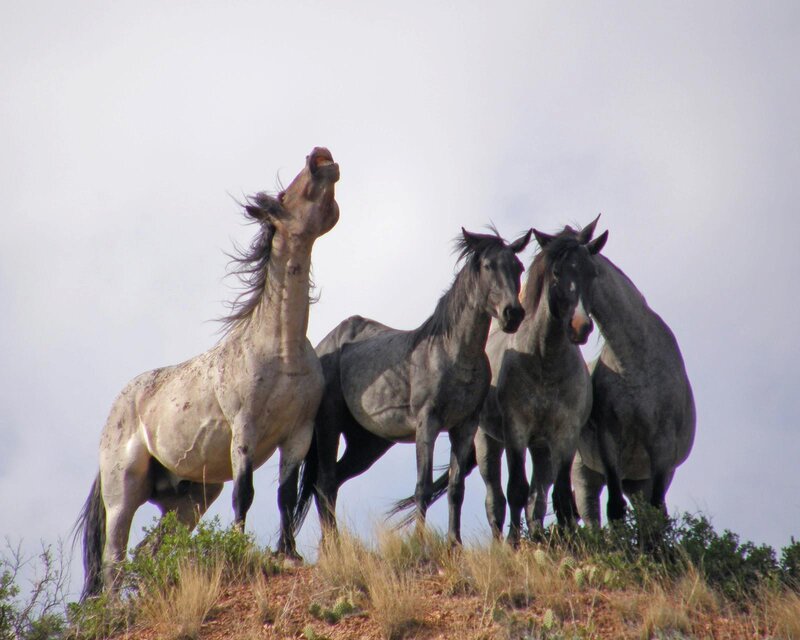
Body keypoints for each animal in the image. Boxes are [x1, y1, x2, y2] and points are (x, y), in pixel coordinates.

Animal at [75, 147, 340, 599]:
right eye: (283, 196)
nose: (320, 157)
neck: (281, 351)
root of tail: (114, 413)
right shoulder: (245, 429)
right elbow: (245, 494)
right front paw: (239, 547)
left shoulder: (298, 434)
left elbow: (285, 495)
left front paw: (287, 554)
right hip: (123, 490)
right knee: (114, 559)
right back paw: (113, 606)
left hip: (189, 499)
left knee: (149, 550)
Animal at [291, 227, 532, 545]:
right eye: (488, 265)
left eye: (519, 267)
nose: (512, 314)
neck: (454, 353)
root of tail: (325, 346)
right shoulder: (427, 422)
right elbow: (423, 487)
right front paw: (420, 541)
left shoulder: (464, 426)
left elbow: (456, 488)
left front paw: (454, 543)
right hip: (329, 424)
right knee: (326, 481)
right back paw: (334, 546)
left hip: (367, 443)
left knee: (332, 483)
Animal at [388, 219, 608, 545]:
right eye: (557, 272)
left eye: (592, 272)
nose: (580, 326)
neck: (546, 364)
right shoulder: (515, 430)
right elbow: (515, 490)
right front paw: (515, 544)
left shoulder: (566, 435)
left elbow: (559, 497)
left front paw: (570, 544)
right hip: (487, 443)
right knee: (496, 499)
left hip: (541, 448)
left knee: (537, 498)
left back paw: (538, 535)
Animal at [570, 252, 695, 525]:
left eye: (589, 274)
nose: (578, 328)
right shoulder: (609, 440)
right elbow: (615, 509)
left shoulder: (662, 448)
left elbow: (656, 511)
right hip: (584, 474)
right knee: (591, 515)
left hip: (638, 480)